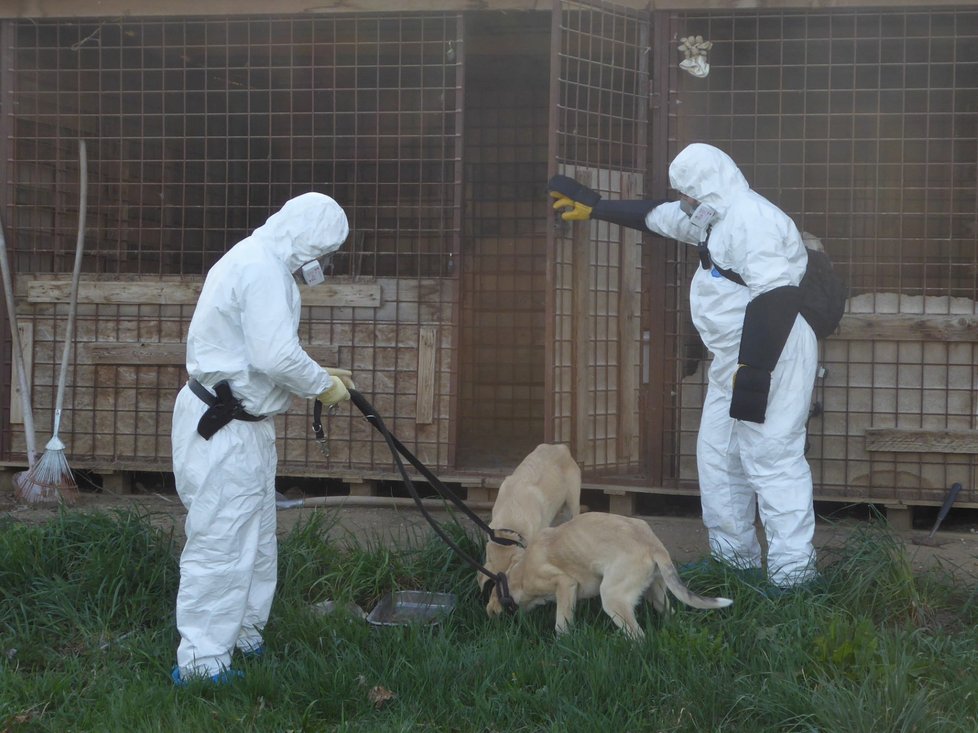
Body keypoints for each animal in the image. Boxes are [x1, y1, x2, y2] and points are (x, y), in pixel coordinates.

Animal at [484, 512, 728, 636]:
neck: (519, 574)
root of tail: (653, 544)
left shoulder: (565, 584)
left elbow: (561, 624)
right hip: (656, 593)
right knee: (671, 615)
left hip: (612, 597)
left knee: (638, 636)